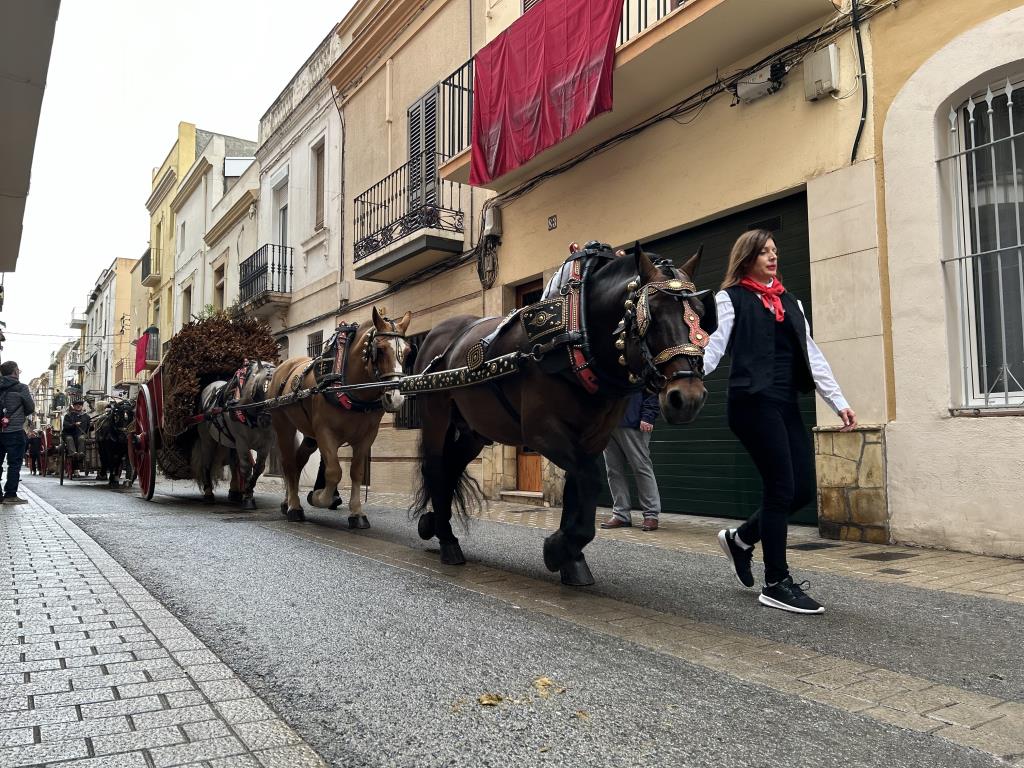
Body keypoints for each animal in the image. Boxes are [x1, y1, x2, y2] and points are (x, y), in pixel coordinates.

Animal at [268, 307, 411, 528]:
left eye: (408, 352)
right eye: (379, 349)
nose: (395, 397)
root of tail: (283, 367)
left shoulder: (367, 436)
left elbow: (356, 472)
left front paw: (357, 513)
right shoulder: (325, 433)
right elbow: (334, 472)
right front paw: (319, 497)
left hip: (310, 437)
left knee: (297, 463)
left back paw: (287, 502)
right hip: (283, 426)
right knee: (289, 463)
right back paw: (294, 507)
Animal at [411, 246, 716, 589]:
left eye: (701, 313)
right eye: (652, 314)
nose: (687, 398)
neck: (577, 332)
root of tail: (438, 334)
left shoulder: (592, 437)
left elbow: (577, 487)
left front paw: (572, 558)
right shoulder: (543, 433)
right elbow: (589, 478)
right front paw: (559, 548)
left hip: (473, 432)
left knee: (450, 469)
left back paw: (434, 524)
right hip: (437, 419)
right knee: (436, 468)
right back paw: (447, 541)